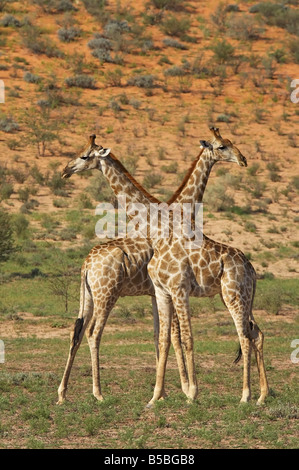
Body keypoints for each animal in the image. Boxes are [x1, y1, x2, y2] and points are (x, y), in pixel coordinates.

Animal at [56, 129, 270, 408]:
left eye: (84, 156)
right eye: (223, 146)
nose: (65, 170)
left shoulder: (170, 290)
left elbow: (173, 338)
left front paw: (180, 391)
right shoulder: (162, 291)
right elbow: (170, 338)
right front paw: (173, 392)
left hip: (231, 296)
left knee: (248, 335)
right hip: (104, 294)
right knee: (88, 333)